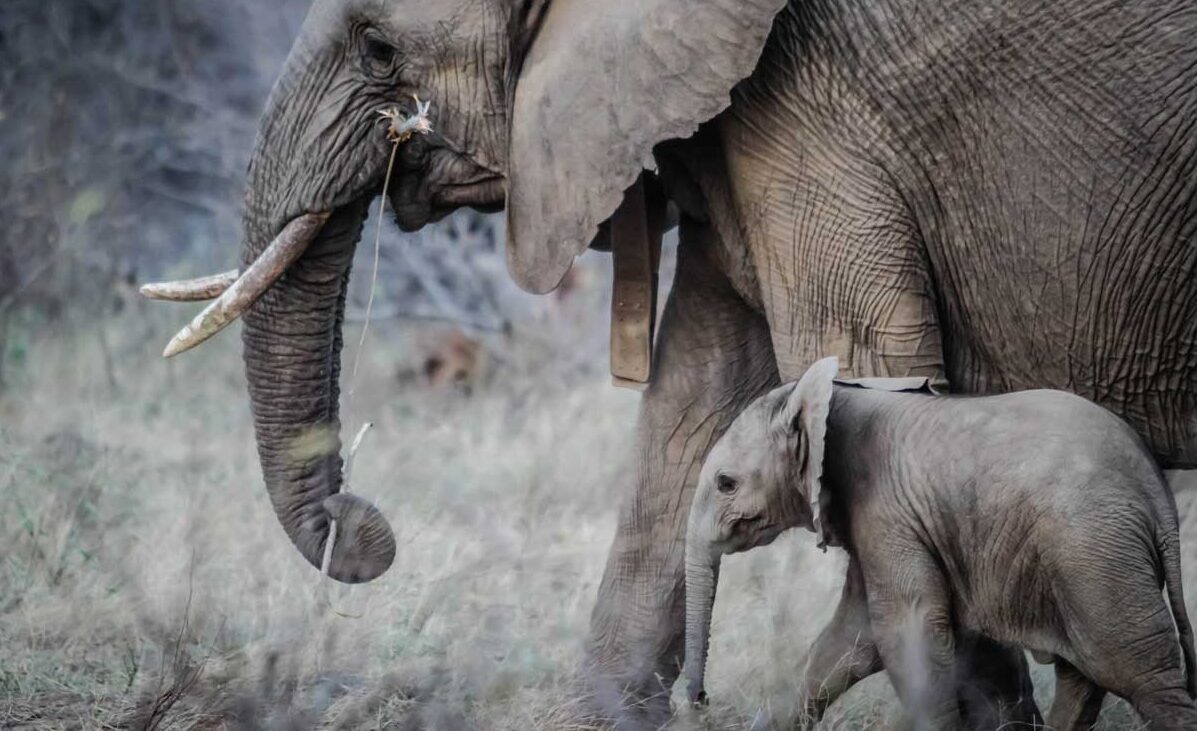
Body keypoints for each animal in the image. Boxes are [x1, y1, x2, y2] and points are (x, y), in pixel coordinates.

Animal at [684, 358, 1197, 731]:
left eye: (726, 484)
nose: (700, 700)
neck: (833, 396)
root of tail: (1155, 490)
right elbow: (849, 642)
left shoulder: (888, 511)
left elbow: (907, 634)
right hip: (1086, 557)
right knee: (1084, 676)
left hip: (1093, 553)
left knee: (1140, 675)